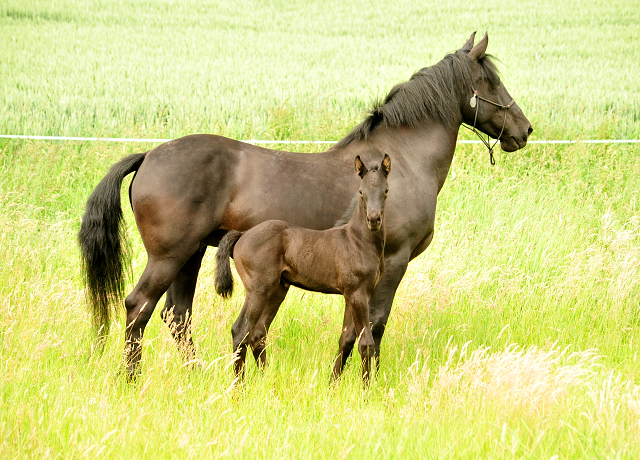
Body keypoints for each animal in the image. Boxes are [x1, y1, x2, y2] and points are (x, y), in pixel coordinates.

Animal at [215, 155, 390, 384]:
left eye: (386, 190)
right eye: (361, 192)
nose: (374, 219)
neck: (358, 240)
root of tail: (243, 235)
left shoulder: (353, 295)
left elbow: (346, 339)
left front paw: (332, 384)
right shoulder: (357, 293)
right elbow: (365, 343)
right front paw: (366, 389)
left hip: (278, 290)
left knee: (257, 333)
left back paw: (265, 380)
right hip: (258, 290)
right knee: (240, 331)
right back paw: (239, 386)